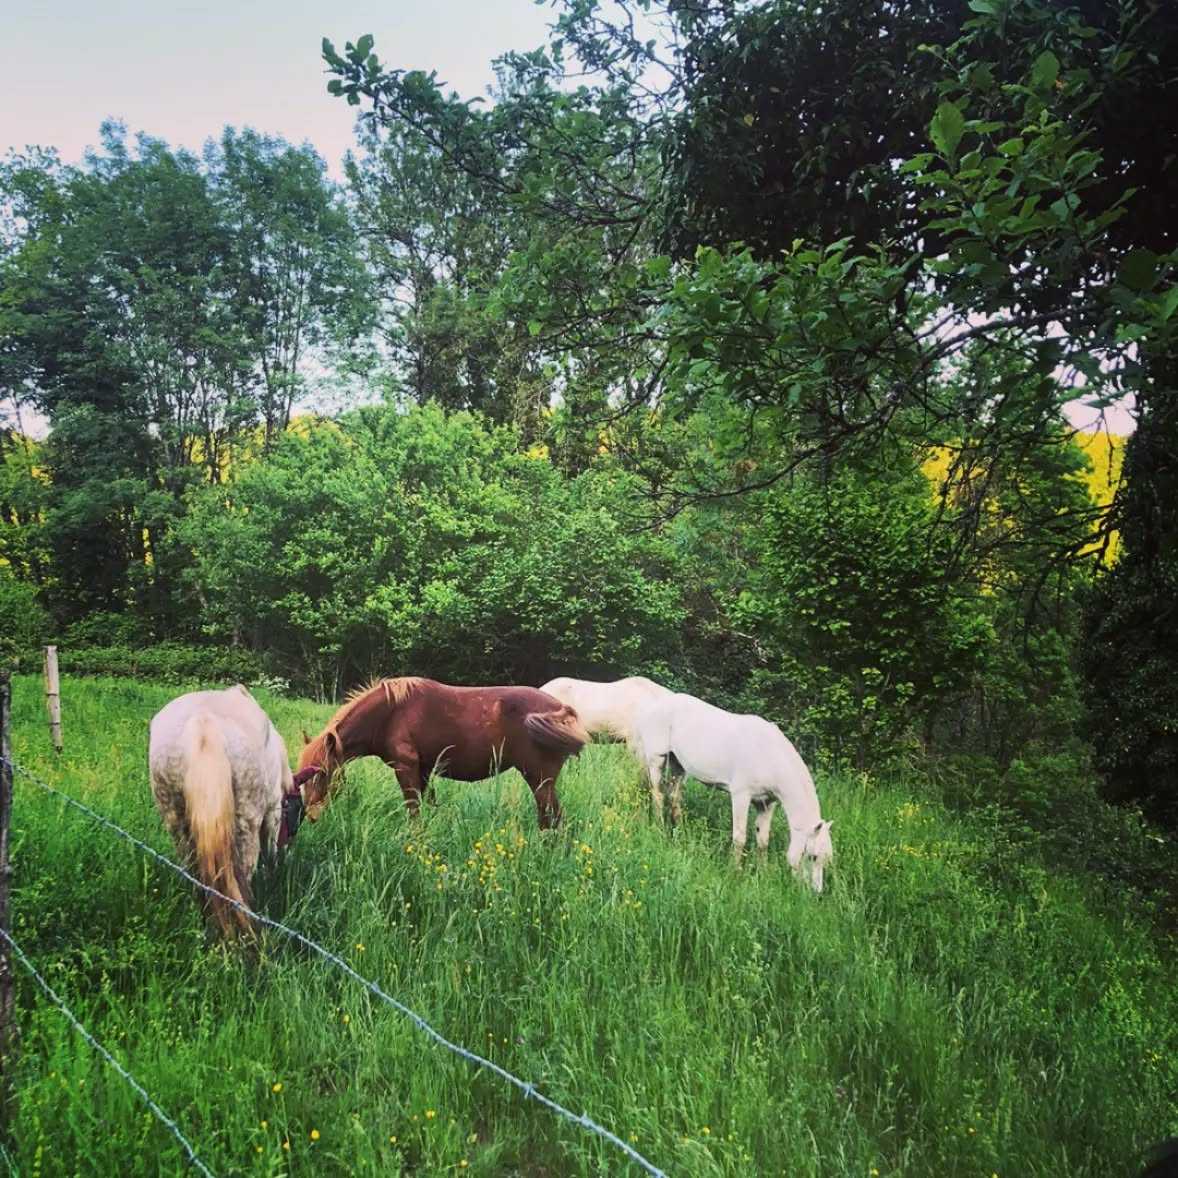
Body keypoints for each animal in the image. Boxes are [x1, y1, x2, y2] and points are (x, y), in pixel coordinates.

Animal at [148, 684, 312, 937]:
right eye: (297, 814)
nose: (287, 851)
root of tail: (202, 722)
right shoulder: (273, 811)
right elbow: (269, 849)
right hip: (246, 825)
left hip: (176, 821)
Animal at [297, 677, 591, 829]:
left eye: (322, 773)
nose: (310, 816)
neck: (389, 712)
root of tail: (561, 708)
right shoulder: (424, 771)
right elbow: (429, 805)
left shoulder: (406, 769)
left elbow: (413, 810)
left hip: (540, 779)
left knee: (552, 817)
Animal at [632, 691, 834, 891]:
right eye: (812, 856)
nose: (815, 892)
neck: (769, 755)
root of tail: (656, 704)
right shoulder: (740, 796)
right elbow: (739, 837)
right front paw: (735, 873)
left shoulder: (766, 804)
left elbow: (763, 840)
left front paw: (762, 872)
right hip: (656, 759)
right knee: (658, 795)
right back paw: (659, 830)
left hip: (678, 766)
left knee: (674, 797)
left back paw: (680, 832)